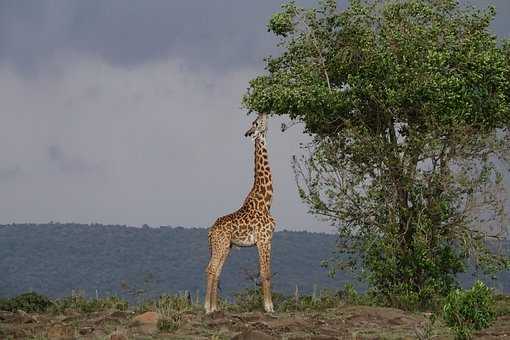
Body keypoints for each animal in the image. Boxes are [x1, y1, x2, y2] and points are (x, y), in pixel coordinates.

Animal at [204, 113, 276, 314]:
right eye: (257, 122)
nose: (264, 112)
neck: (266, 201)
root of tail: (211, 231)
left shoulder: (268, 240)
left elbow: (267, 272)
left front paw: (269, 305)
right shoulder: (263, 239)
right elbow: (265, 272)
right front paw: (269, 307)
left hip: (225, 247)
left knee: (216, 271)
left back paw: (215, 307)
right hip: (221, 245)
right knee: (211, 269)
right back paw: (207, 308)